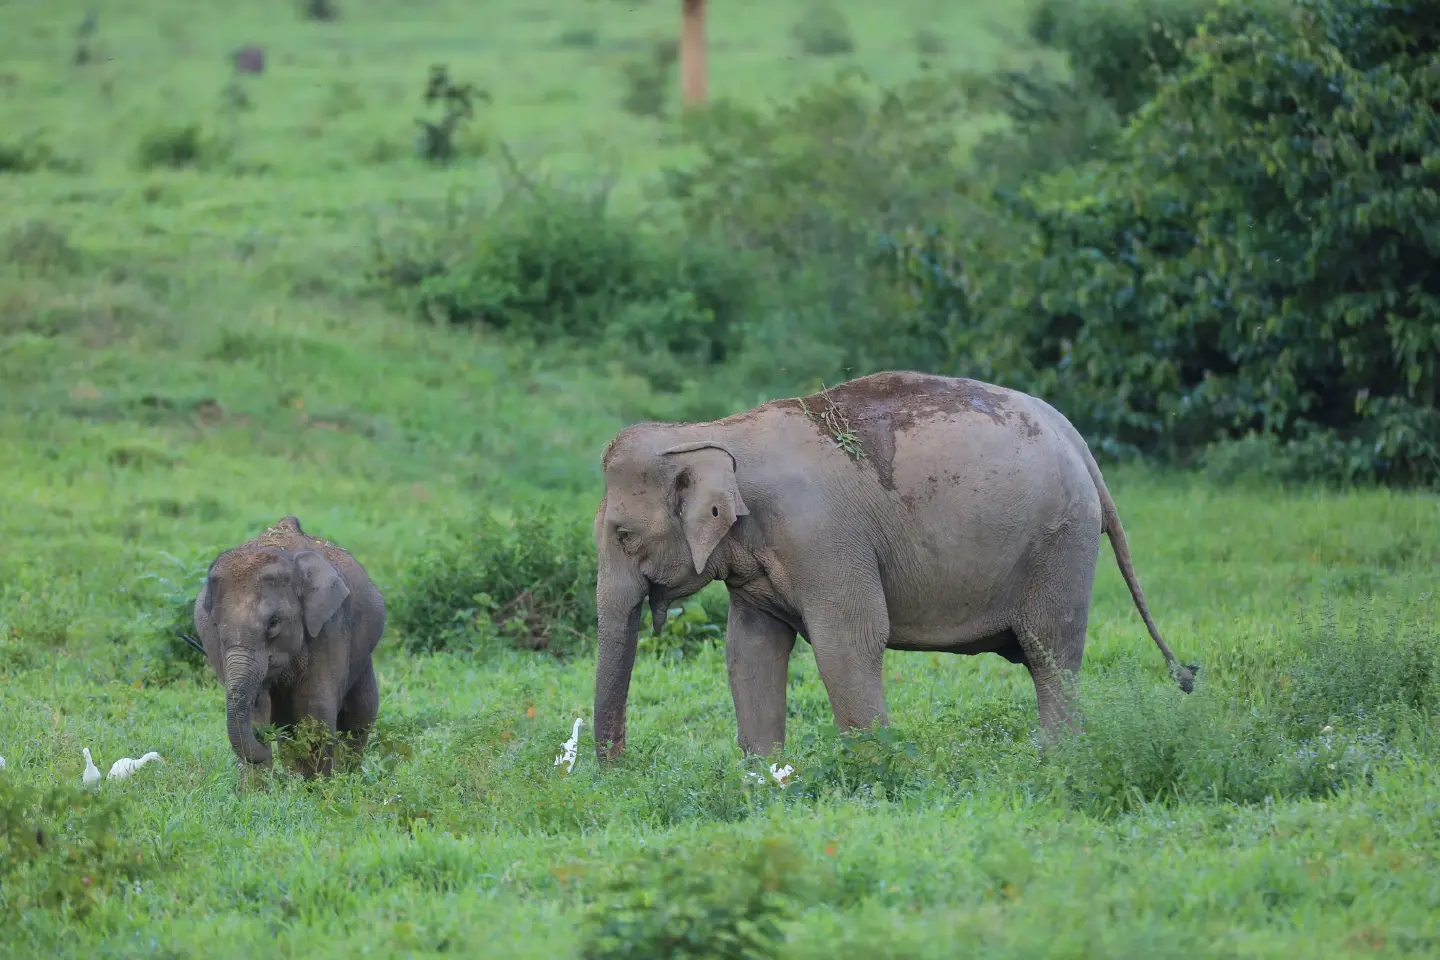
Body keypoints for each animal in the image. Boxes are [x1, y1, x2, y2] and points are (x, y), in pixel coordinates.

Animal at [185, 515, 386, 777]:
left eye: (273, 622)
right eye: (216, 624)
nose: (261, 737)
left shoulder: (329, 626)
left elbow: (316, 711)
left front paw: (319, 786)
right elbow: (259, 708)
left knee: (360, 714)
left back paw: (347, 776)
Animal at [591, 370, 1197, 762]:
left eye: (623, 535)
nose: (616, 772)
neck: (712, 432)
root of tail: (1076, 438)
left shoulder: (823, 536)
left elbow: (850, 639)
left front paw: (873, 771)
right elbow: (749, 649)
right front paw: (766, 778)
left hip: (1061, 542)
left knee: (1052, 652)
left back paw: (1058, 760)